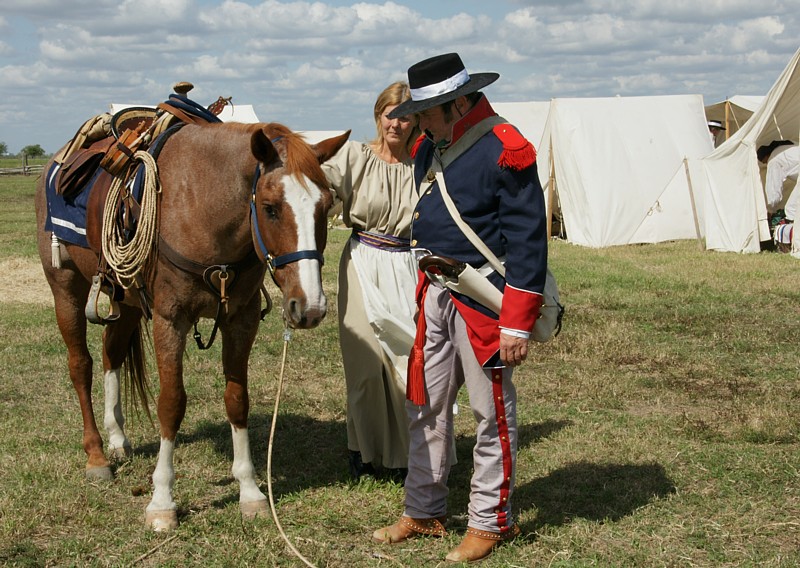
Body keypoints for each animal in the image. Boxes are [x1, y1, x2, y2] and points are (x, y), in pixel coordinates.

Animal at [35, 117, 346, 532]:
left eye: (326, 205)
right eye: (269, 208)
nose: (309, 307)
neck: (201, 205)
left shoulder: (241, 319)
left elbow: (237, 399)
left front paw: (250, 491)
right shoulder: (171, 320)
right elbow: (171, 403)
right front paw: (162, 501)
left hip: (126, 301)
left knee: (111, 354)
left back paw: (117, 438)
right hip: (65, 288)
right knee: (80, 366)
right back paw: (97, 455)